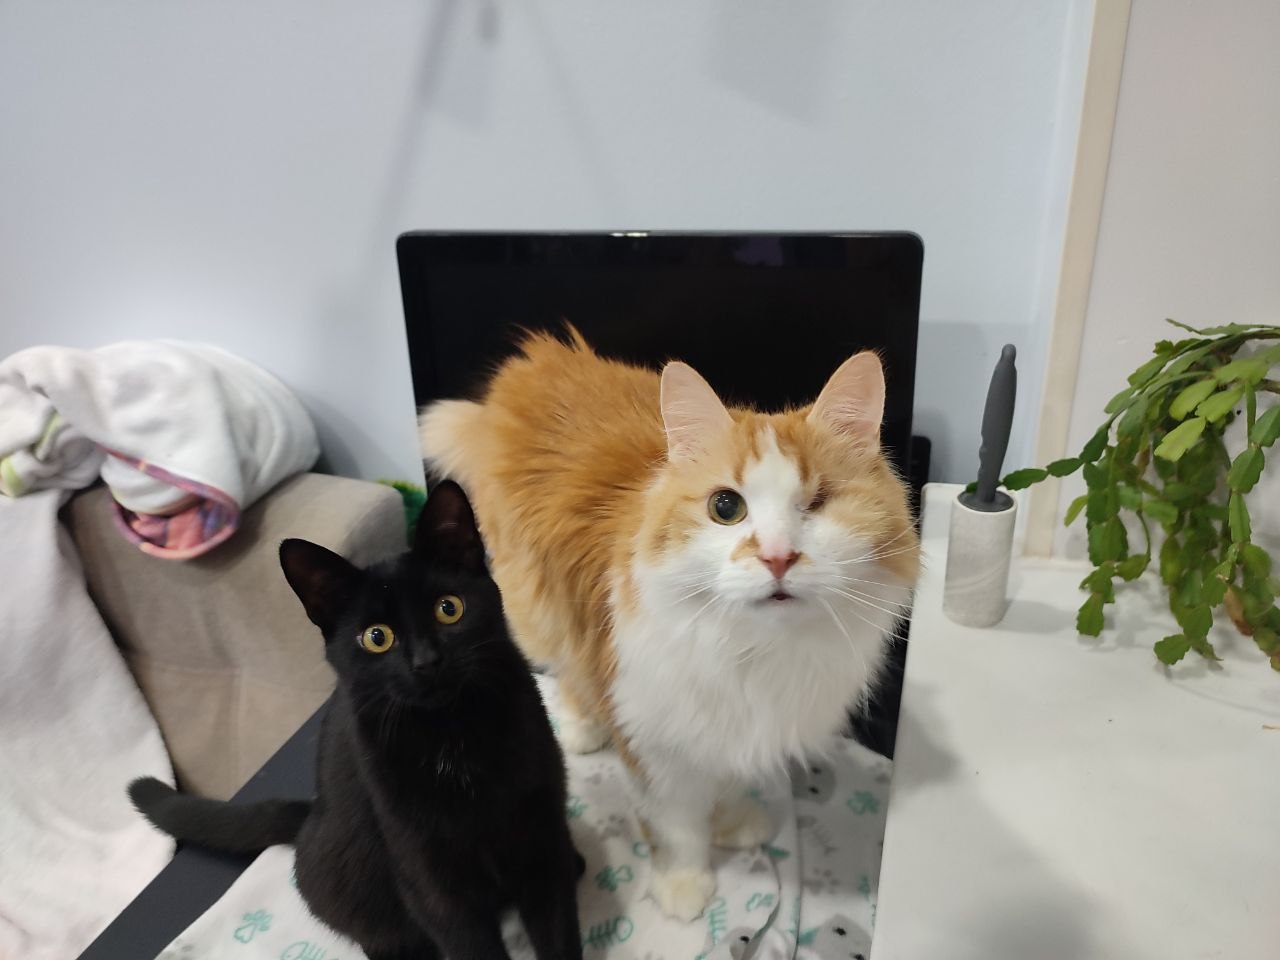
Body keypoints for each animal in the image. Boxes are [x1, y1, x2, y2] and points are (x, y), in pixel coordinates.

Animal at [129, 480, 584, 960]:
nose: (427, 662)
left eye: (449, 608)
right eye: (376, 638)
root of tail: (312, 815)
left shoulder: (540, 832)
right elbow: (466, 939)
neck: (453, 734)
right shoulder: (430, 875)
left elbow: (557, 924)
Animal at [419, 329, 919, 921]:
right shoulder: (652, 740)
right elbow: (676, 826)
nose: (777, 558)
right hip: (539, 609)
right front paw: (684, 887)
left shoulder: (731, 731)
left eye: (817, 504)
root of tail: (534, 362)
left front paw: (734, 823)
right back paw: (582, 730)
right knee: (566, 669)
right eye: (726, 507)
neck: (751, 651)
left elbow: (729, 784)